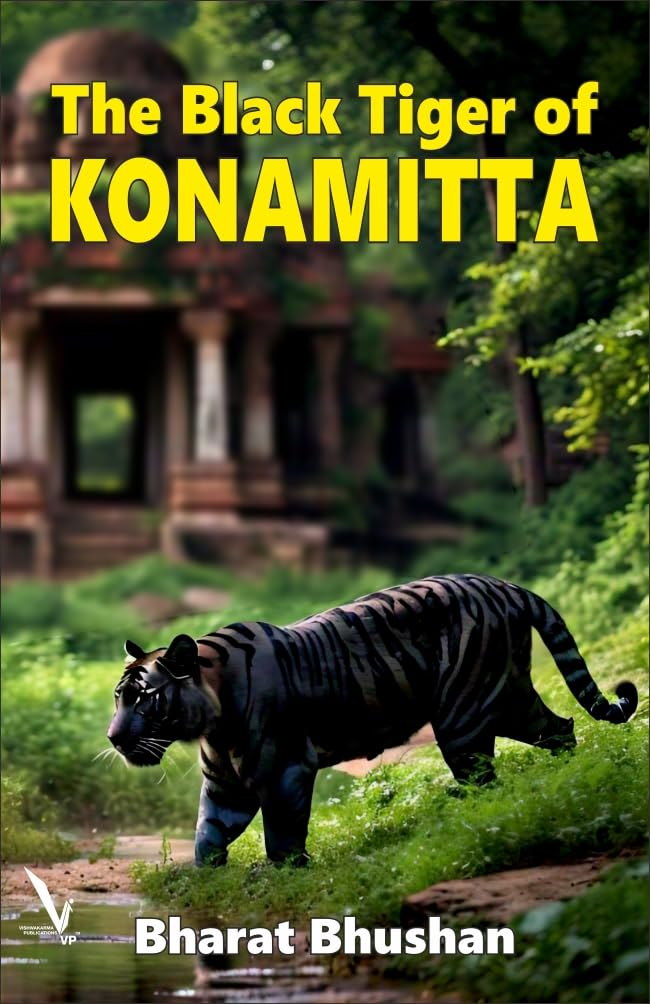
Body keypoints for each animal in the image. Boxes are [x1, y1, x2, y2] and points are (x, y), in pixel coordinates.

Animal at [107, 573, 637, 868]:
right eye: (118, 698)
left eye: (144, 699)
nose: (112, 739)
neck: (211, 724)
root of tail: (505, 586)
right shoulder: (225, 787)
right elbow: (207, 837)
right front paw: (204, 881)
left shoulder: (284, 772)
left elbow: (282, 833)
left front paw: (286, 873)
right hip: (509, 697)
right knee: (561, 728)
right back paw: (566, 781)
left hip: (465, 716)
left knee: (484, 777)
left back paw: (480, 818)